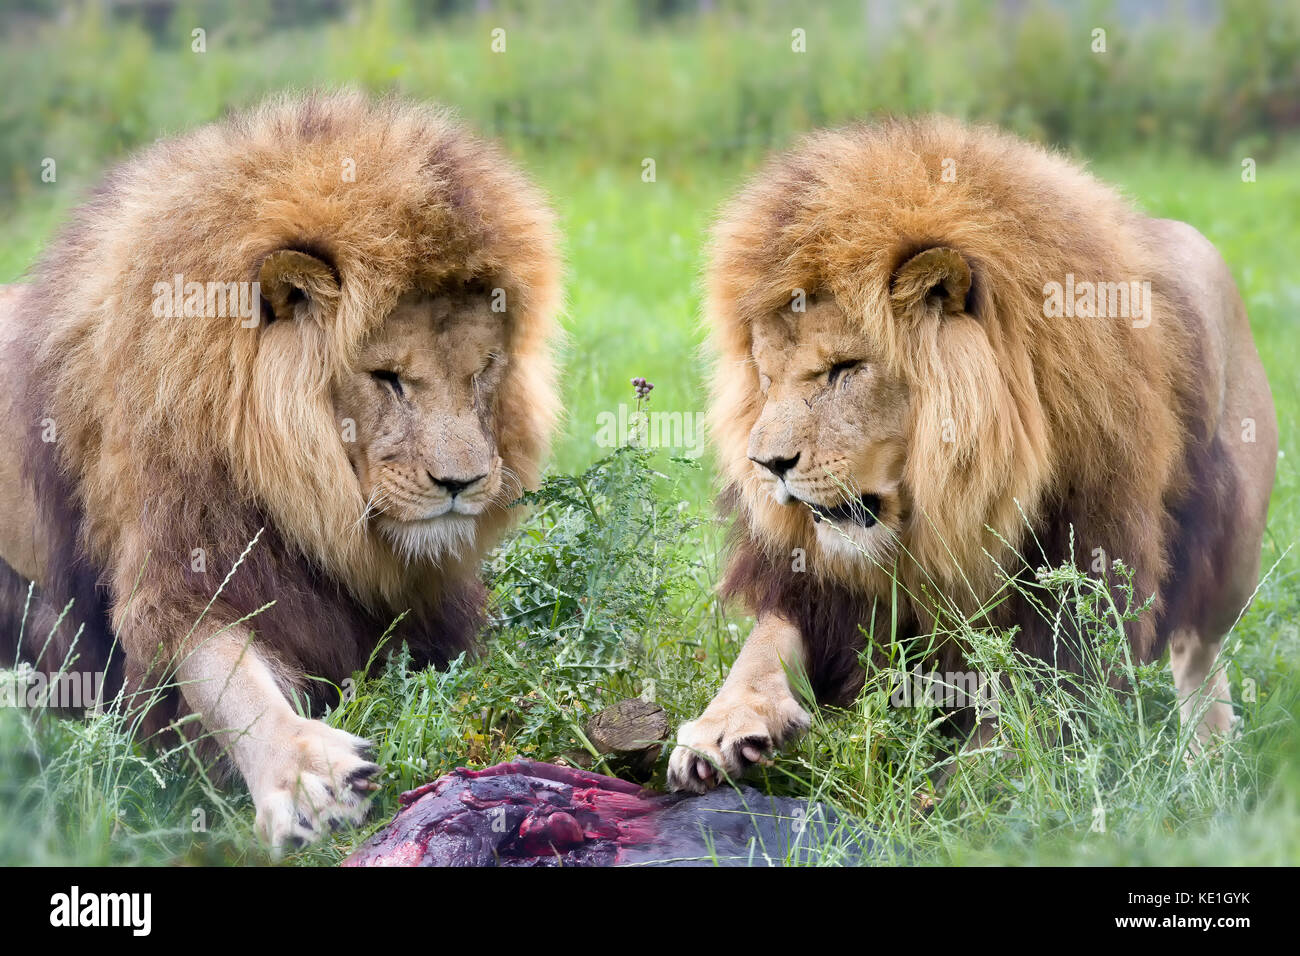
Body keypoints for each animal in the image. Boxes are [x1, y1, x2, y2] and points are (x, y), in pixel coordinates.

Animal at [0, 91, 561, 848]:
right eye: (387, 378)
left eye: (485, 371)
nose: (462, 484)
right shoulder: (184, 557)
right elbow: (224, 676)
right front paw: (302, 774)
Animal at [668, 117, 1277, 792]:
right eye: (764, 376)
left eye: (844, 369)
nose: (767, 465)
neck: (942, 516)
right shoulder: (827, 592)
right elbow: (763, 646)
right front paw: (722, 728)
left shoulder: (1080, 569)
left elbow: (1023, 717)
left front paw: (957, 792)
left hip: (1234, 544)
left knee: (1200, 648)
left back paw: (1208, 763)